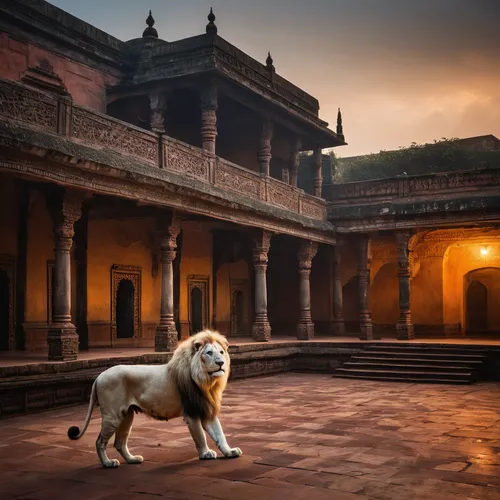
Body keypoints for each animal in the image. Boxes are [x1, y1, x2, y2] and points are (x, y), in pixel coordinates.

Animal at [67, 330, 243, 466]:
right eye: (209, 353)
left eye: (221, 352)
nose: (221, 363)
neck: (207, 382)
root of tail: (99, 376)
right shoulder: (191, 411)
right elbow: (200, 436)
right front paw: (206, 453)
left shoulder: (206, 408)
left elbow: (220, 434)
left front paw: (230, 451)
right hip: (113, 415)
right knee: (100, 442)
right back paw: (108, 463)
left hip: (126, 415)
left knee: (119, 443)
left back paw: (132, 460)